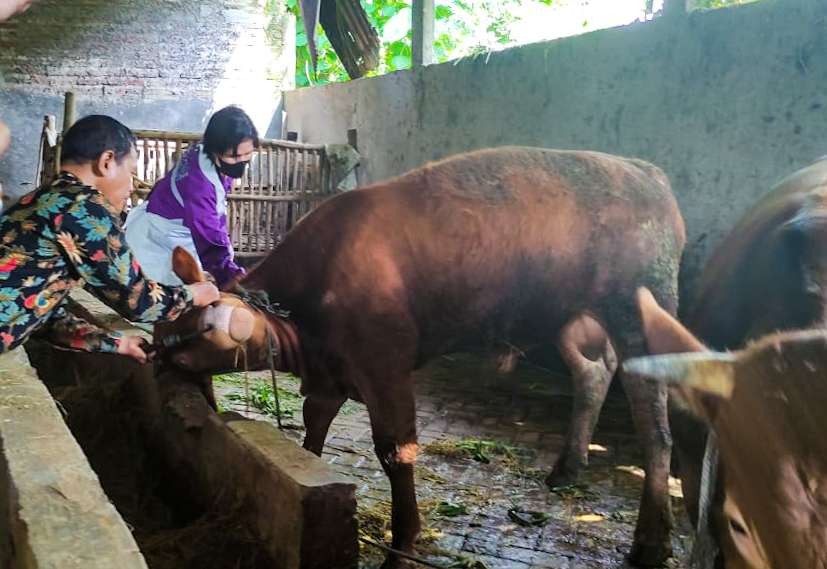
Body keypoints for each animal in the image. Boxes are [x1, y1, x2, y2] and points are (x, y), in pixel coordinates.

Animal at [160, 148, 684, 568]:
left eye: (205, 328)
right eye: (169, 321)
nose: (160, 356)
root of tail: (648, 173)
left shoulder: (383, 364)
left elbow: (397, 451)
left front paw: (404, 545)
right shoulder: (332, 371)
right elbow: (314, 425)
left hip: (640, 314)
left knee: (656, 428)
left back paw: (652, 542)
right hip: (572, 321)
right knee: (593, 374)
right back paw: (568, 467)